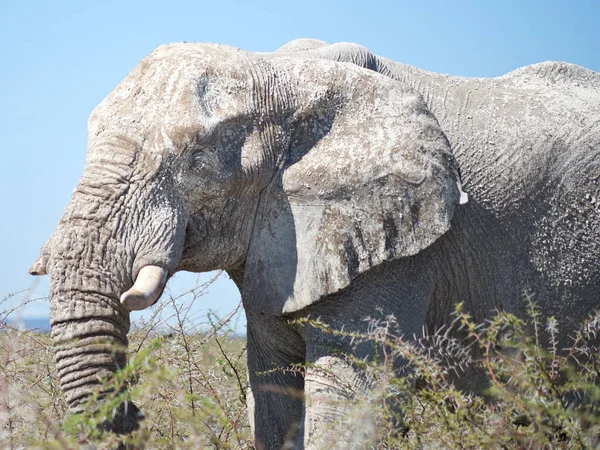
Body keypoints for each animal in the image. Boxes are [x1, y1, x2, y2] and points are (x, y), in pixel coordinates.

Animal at [30, 39, 600, 450]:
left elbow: (349, 397)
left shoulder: (401, 249)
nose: (133, 412)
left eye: (198, 159)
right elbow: (273, 396)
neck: (282, 73)